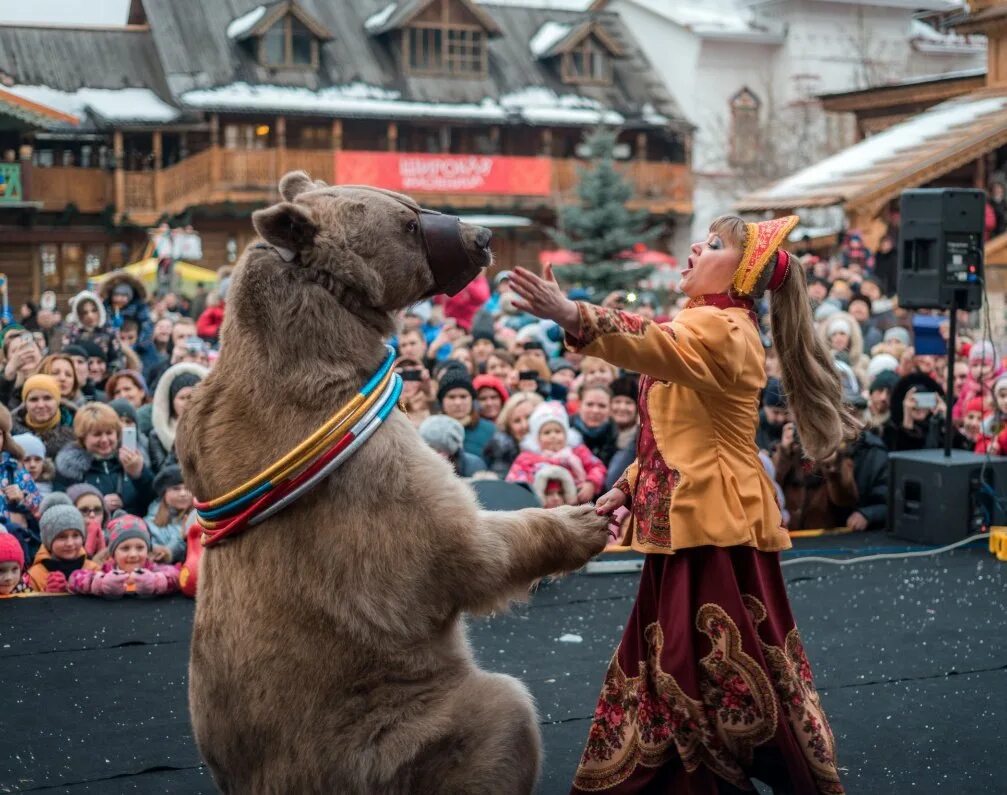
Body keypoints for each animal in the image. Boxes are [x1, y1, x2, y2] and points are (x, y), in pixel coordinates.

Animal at [177, 170, 608, 789]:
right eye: (407, 222)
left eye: (411, 202)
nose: (481, 237)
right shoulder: (362, 471)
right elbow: (456, 545)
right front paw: (580, 521)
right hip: (384, 734)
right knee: (501, 714)